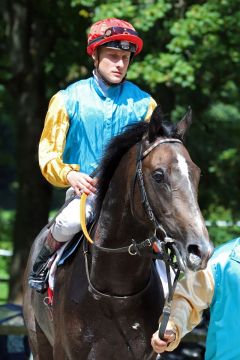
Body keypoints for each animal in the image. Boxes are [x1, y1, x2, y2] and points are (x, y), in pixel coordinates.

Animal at [23, 105, 213, 358]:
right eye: (158, 175)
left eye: (197, 174)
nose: (200, 250)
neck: (116, 291)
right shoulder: (64, 351)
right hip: (39, 340)